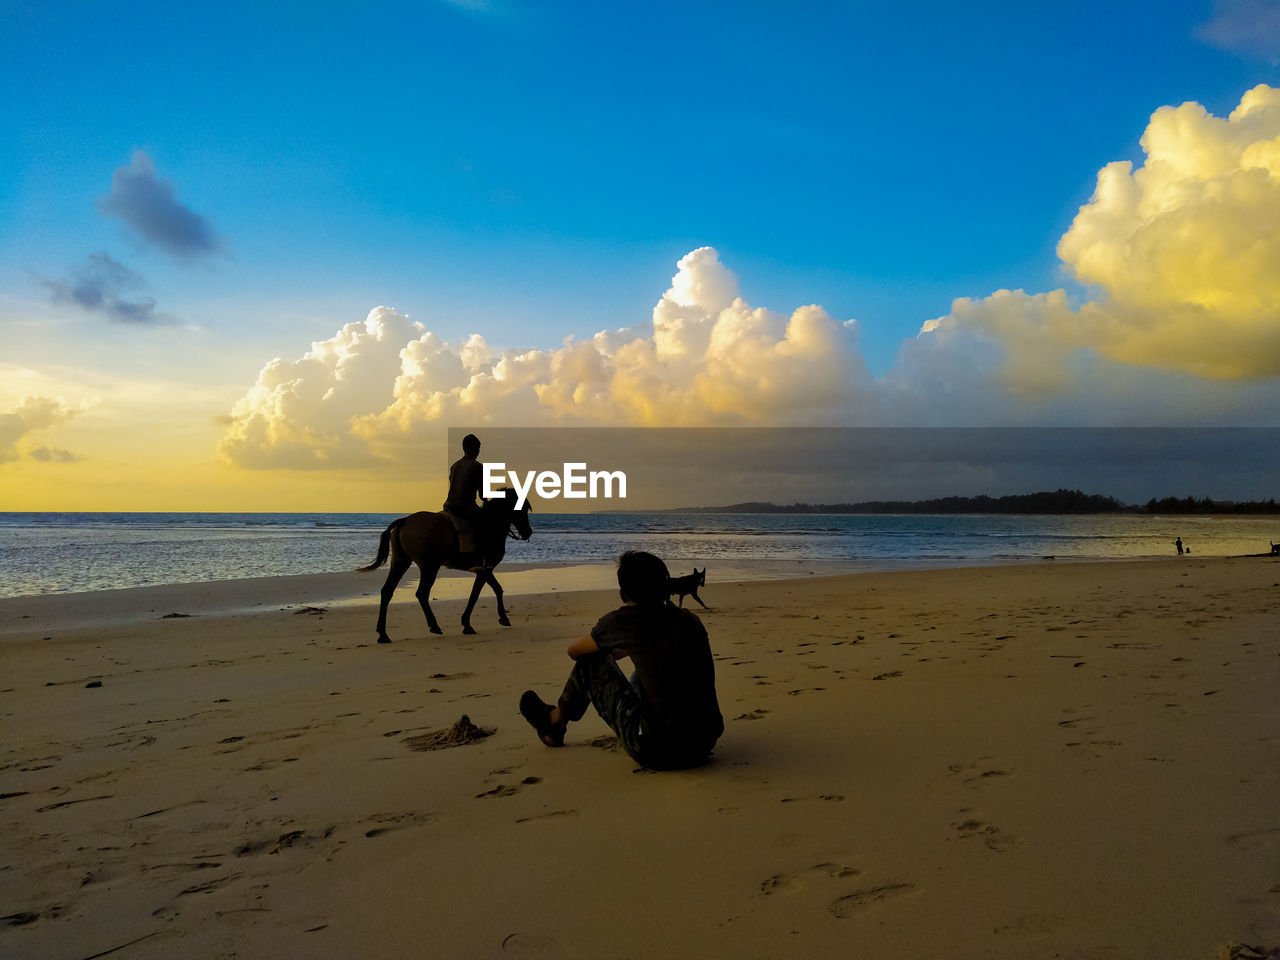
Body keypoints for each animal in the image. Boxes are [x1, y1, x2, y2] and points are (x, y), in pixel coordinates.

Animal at [355, 491, 529, 642]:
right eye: (523, 508)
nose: (528, 532)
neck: (491, 525)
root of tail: (405, 520)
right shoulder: (485, 569)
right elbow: (478, 594)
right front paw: (470, 624)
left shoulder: (484, 569)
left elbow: (495, 589)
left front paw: (497, 618)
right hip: (429, 566)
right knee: (421, 593)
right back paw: (434, 626)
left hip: (400, 562)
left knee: (387, 591)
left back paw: (383, 634)